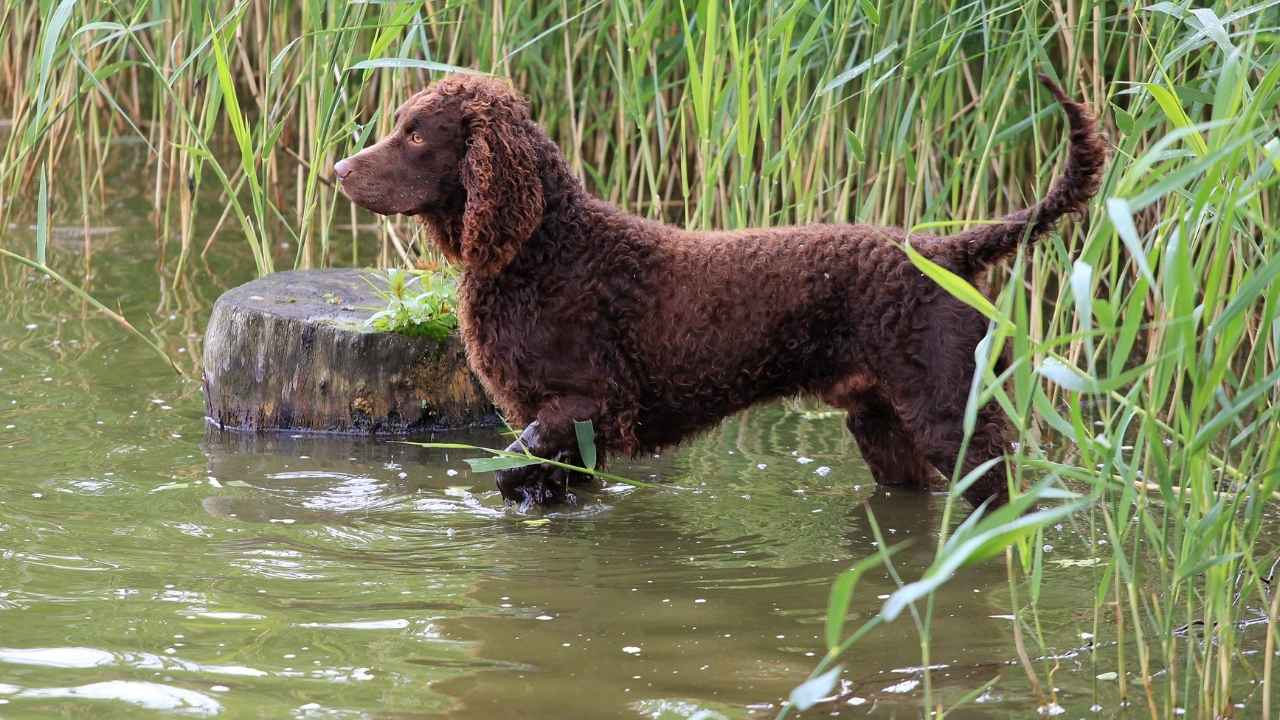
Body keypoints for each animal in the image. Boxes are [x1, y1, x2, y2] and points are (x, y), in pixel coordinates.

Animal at [335, 73, 1105, 507]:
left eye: (415, 136)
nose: (338, 170)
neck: (544, 247)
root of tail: (946, 249)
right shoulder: (570, 428)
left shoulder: (590, 403)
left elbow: (509, 468)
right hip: (884, 426)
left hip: (952, 416)